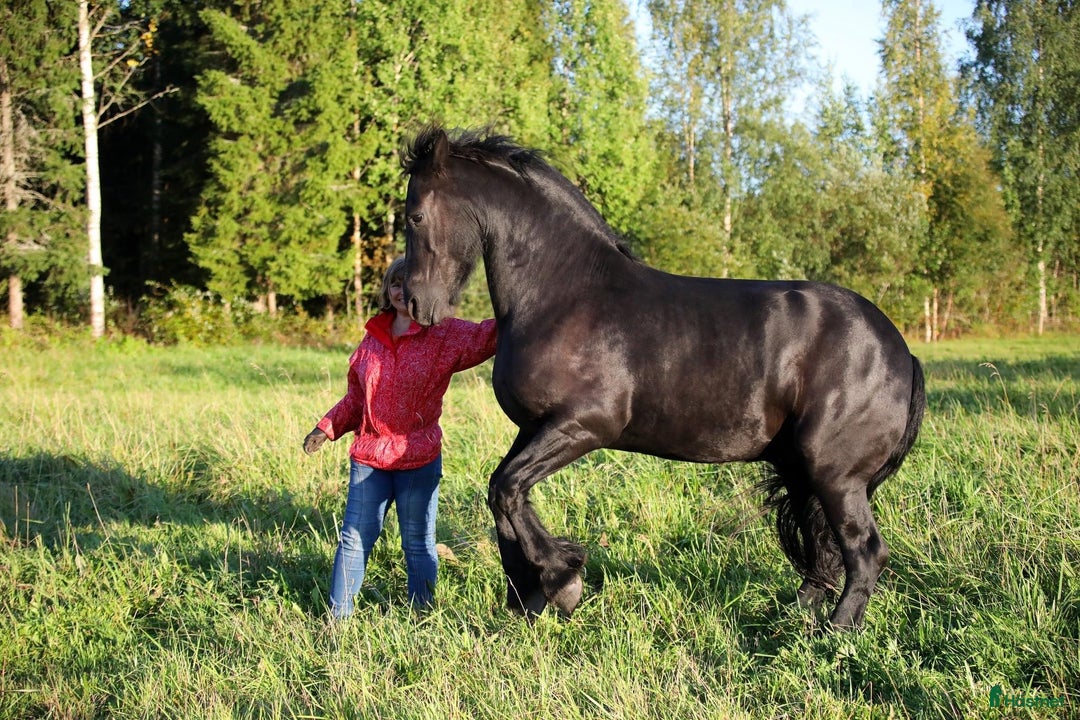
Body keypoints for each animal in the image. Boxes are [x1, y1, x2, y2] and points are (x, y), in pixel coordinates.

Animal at [400, 125, 925, 629]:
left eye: (415, 216)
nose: (415, 304)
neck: (566, 295)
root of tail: (900, 350)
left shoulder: (584, 426)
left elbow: (507, 491)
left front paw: (561, 581)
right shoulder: (535, 428)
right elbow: (505, 496)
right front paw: (530, 597)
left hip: (835, 475)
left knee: (864, 552)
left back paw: (836, 633)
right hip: (804, 472)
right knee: (823, 550)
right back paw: (791, 619)